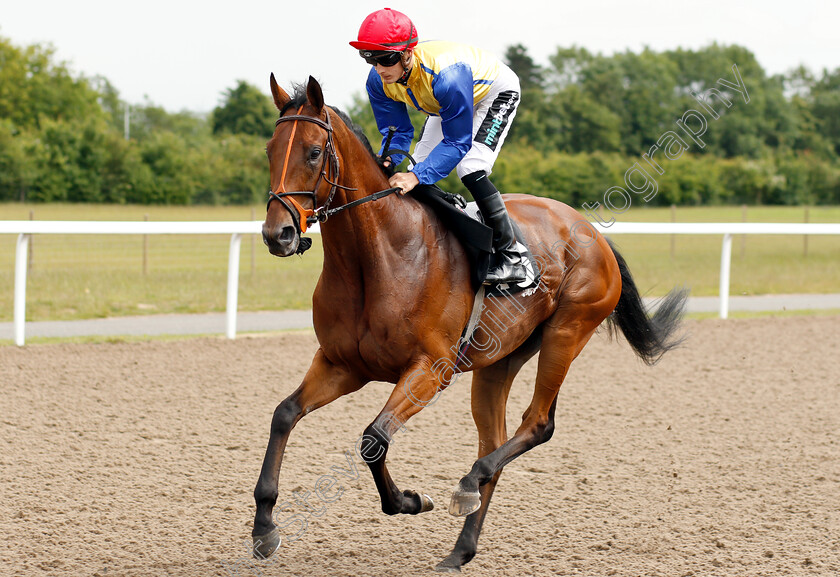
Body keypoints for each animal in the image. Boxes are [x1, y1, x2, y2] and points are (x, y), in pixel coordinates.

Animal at [253, 75, 684, 572]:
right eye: (270, 149)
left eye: (313, 152)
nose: (278, 234)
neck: (379, 258)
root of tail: (592, 232)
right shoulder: (342, 364)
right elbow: (284, 414)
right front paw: (263, 528)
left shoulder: (429, 369)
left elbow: (372, 439)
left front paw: (410, 500)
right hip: (499, 360)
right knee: (492, 441)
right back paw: (461, 547)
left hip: (568, 331)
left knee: (537, 424)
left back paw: (466, 486)